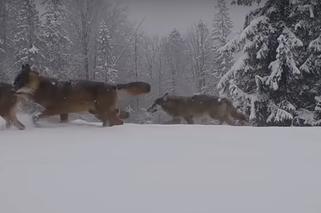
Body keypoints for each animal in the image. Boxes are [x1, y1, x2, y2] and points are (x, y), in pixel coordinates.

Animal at [14, 63, 150, 126]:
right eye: (15, 80)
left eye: (19, 80)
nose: (12, 87)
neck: (43, 87)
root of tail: (113, 85)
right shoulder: (64, 113)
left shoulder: (55, 109)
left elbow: (35, 116)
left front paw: (37, 124)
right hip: (98, 112)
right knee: (117, 118)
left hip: (103, 112)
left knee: (118, 121)